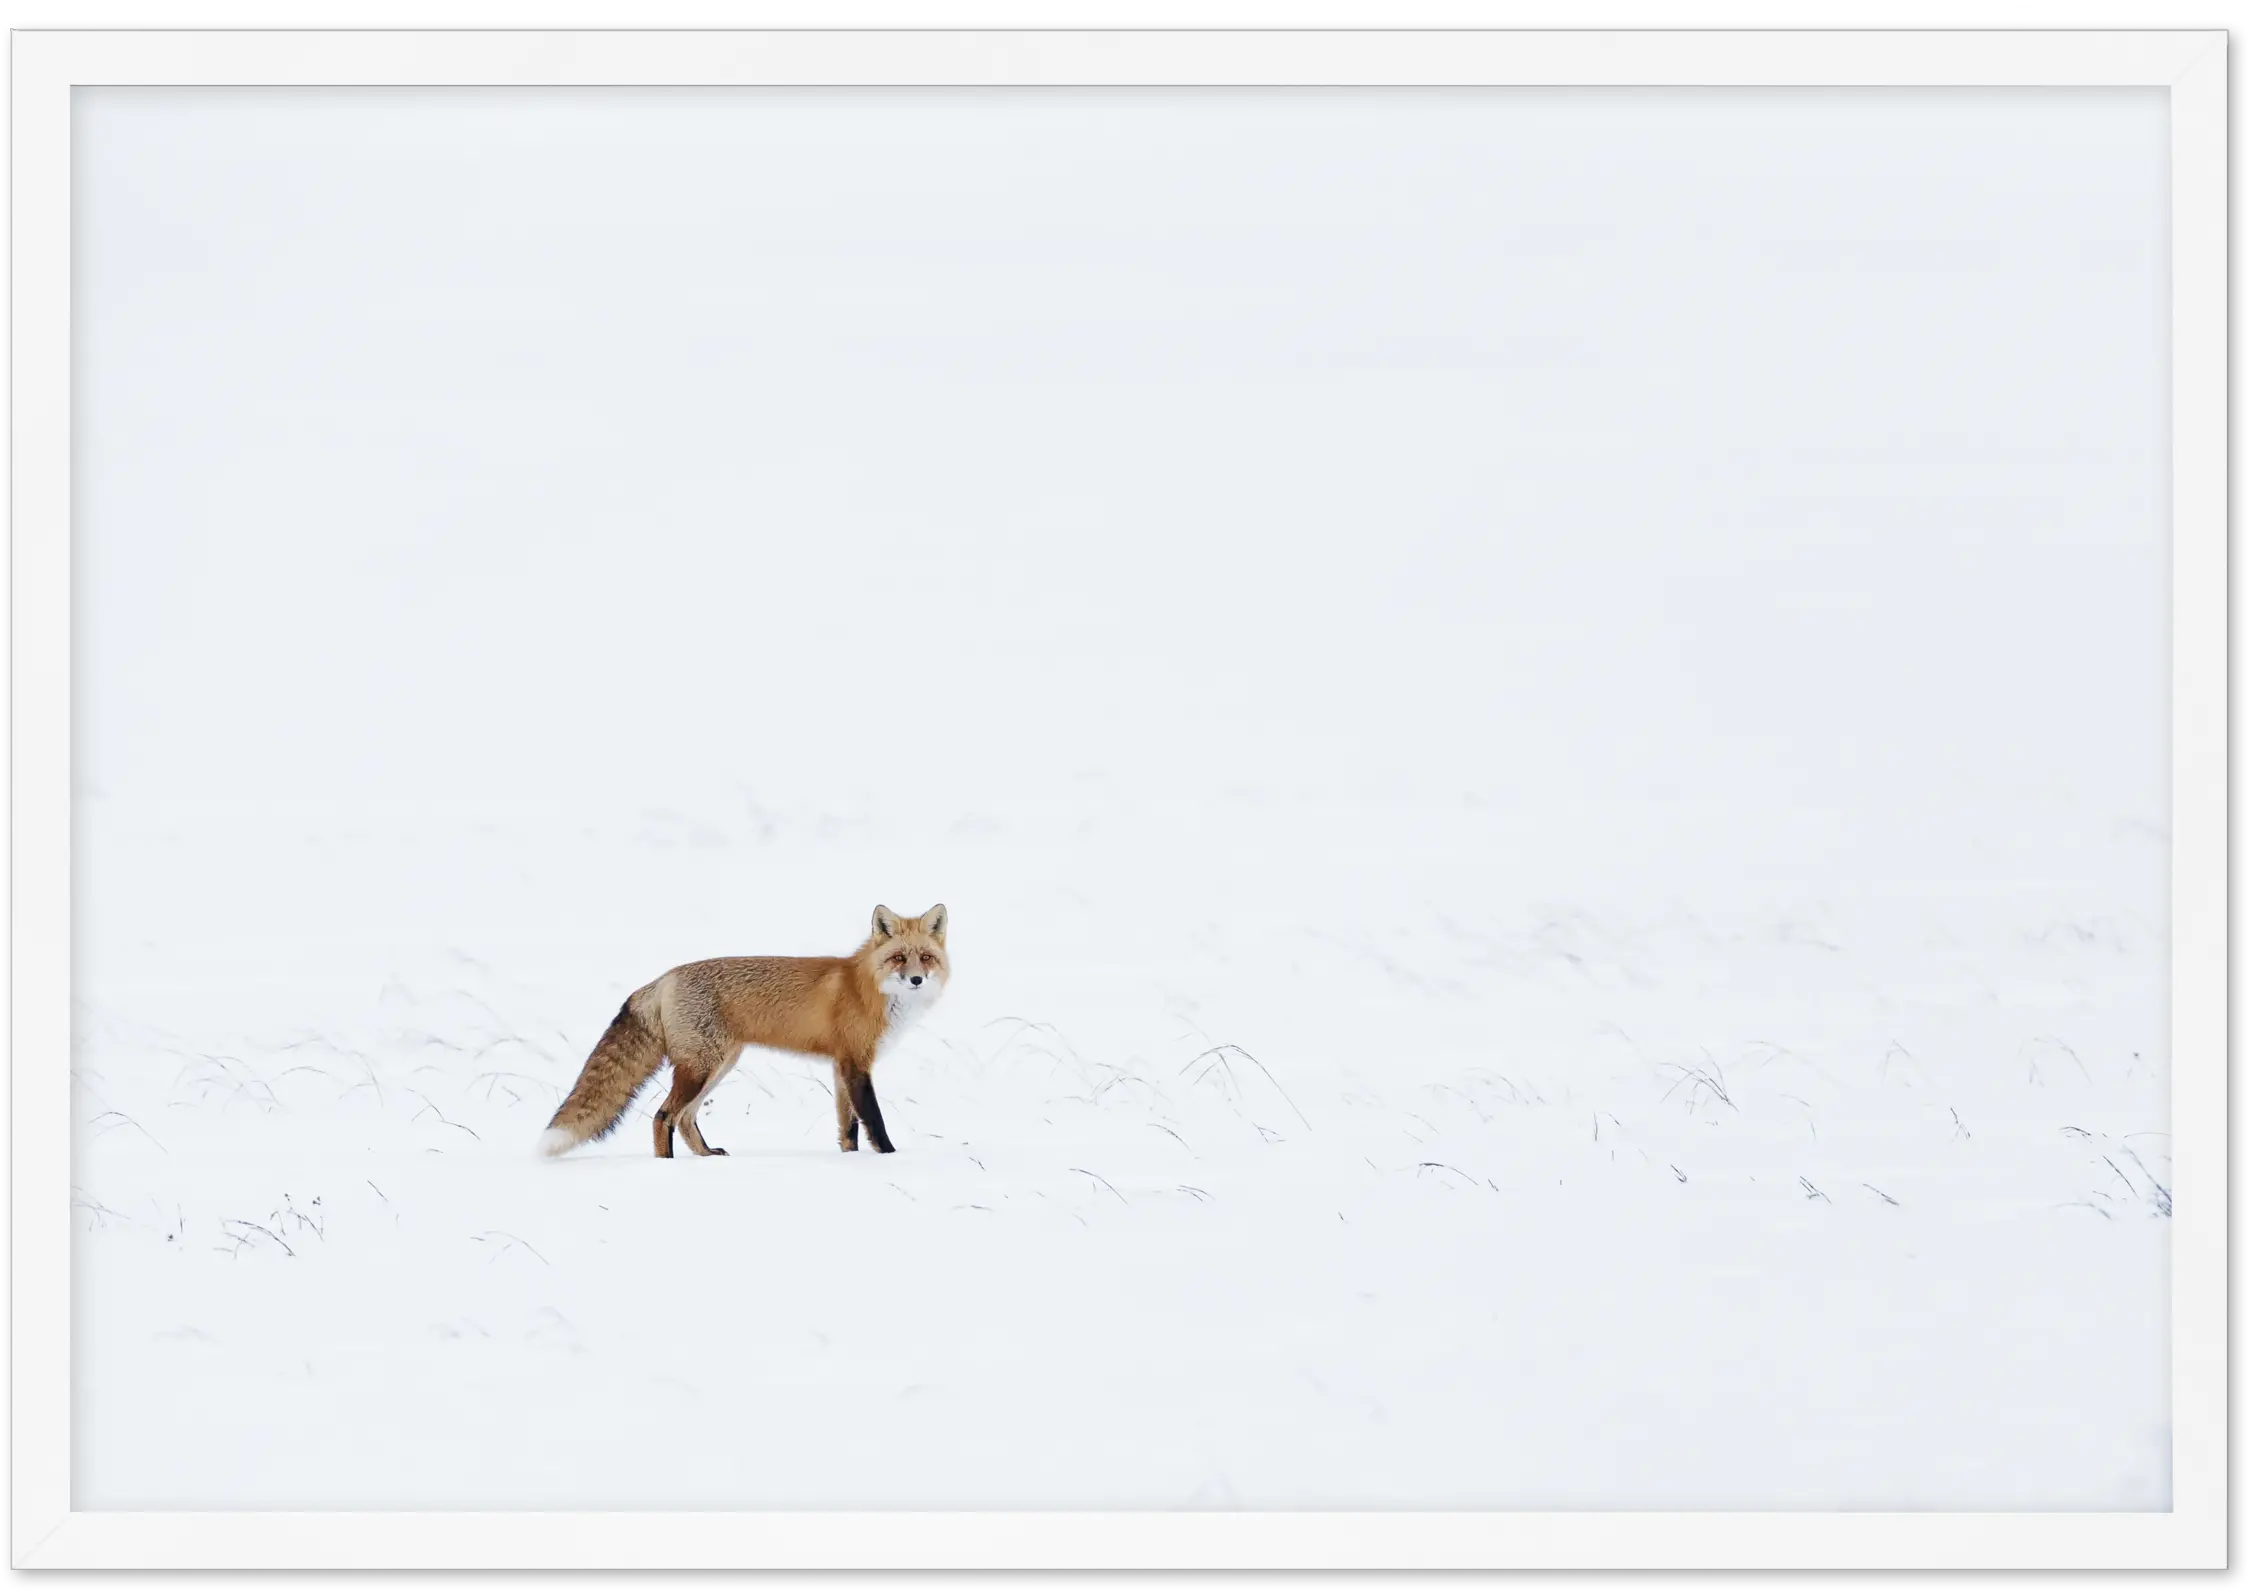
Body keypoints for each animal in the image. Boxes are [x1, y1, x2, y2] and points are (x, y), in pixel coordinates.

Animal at [535, 908, 944, 1157]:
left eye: (926, 958)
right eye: (898, 958)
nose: (917, 980)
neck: (869, 989)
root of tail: (664, 977)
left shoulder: (841, 1065)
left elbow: (849, 1128)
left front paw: (853, 1160)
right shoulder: (856, 1064)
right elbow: (874, 1120)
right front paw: (889, 1157)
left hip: (719, 1065)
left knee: (685, 1119)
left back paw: (706, 1157)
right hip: (701, 1067)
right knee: (663, 1117)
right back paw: (667, 1167)